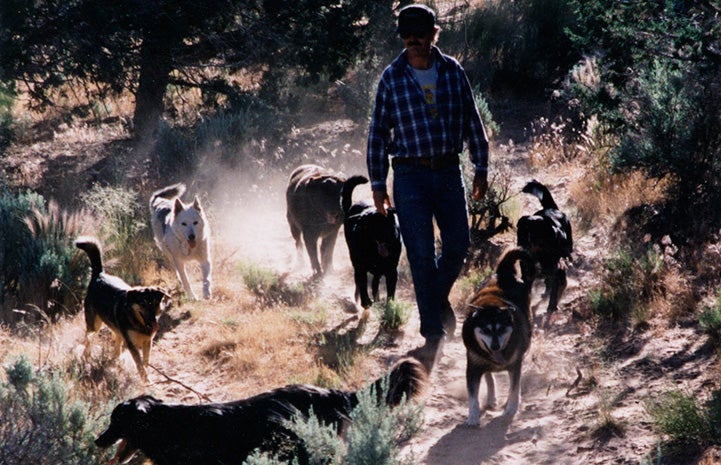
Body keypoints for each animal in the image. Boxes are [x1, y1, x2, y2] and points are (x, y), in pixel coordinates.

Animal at [75, 236, 169, 380]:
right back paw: (87, 357)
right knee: (88, 340)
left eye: (154, 304)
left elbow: (145, 362)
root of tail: (99, 275)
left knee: (116, 341)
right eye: (143, 304)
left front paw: (145, 377)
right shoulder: (132, 345)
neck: (138, 322)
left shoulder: (148, 342)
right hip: (94, 325)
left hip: (114, 328)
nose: (153, 322)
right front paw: (145, 380)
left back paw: (115, 360)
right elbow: (140, 365)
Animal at [462, 246, 536, 424]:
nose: (495, 346)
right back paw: (491, 398)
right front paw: (473, 416)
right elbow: (473, 394)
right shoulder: (473, 367)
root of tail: (504, 272)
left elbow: (514, 388)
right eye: (486, 330)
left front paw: (511, 408)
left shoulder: (515, 365)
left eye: (502, 328)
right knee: (488, 375)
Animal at [516, 179, 572, 316]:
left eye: (534, 233)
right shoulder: (527, 274)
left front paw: (552, 306)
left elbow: (555, 288)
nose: (523, 245)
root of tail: (551, 208)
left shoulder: (555, 268)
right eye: (521, 233)